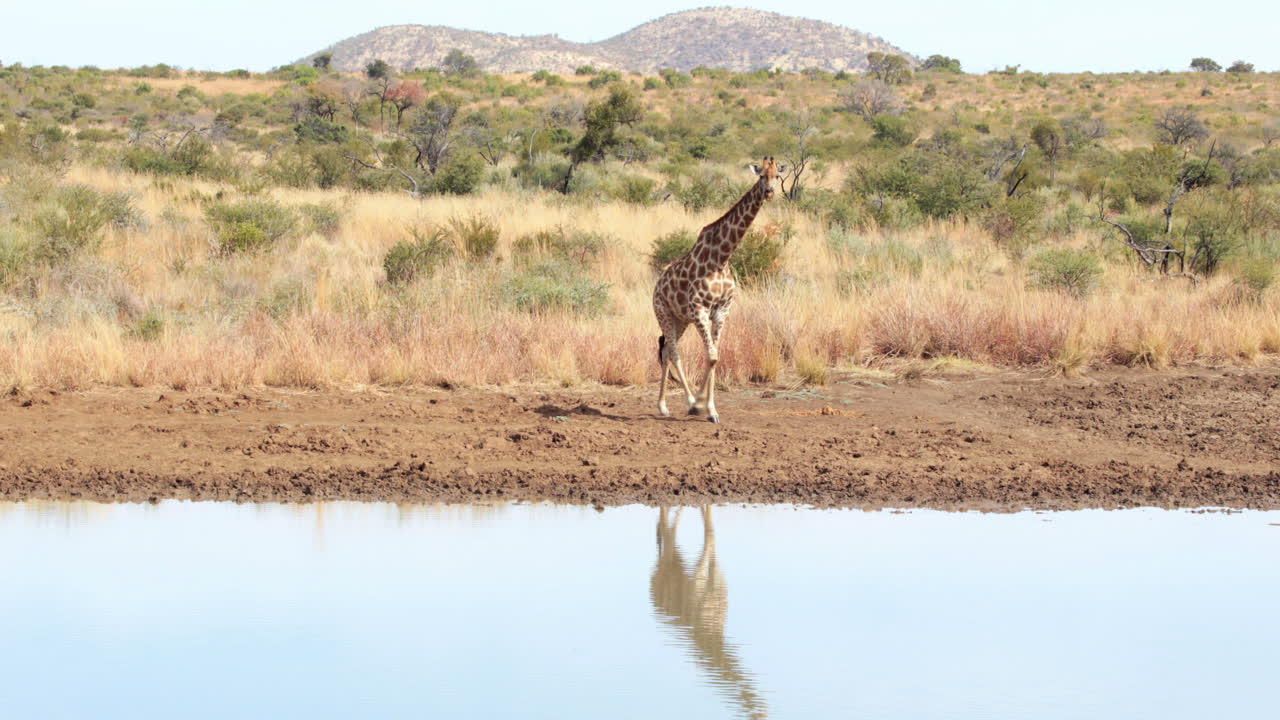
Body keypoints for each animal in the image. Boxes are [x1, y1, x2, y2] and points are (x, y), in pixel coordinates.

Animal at [652, 157, 786, 423]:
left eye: (777, 175)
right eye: (761, 176)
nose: (769, 192)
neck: (721, 258)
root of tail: (656, 286)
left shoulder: (721, 311)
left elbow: (714, 357)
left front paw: (711, 410)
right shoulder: (699, 309)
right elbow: (713, 356)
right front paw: (699, 404)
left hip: (680, 319)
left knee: (666, 350)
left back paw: (667, 406)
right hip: (664, 313)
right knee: (673, 352)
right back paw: (678, 403)